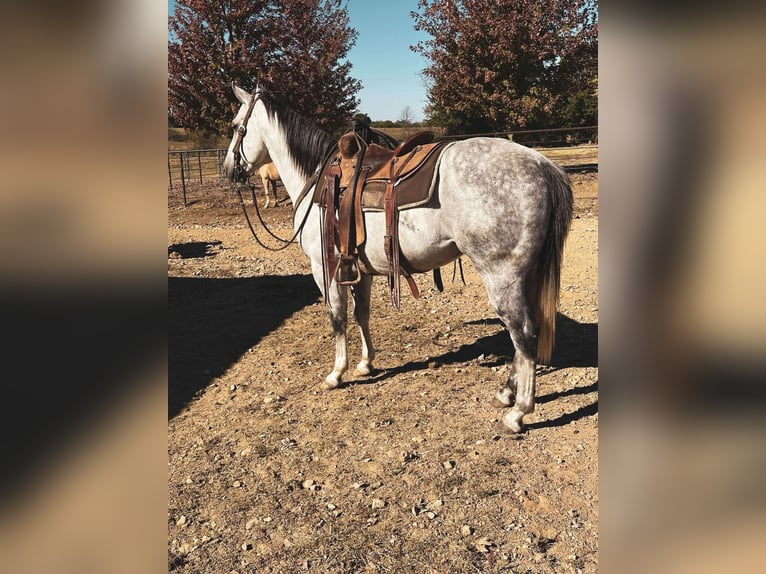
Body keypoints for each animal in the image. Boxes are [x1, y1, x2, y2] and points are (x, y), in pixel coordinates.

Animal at [222, 85, 568, 434]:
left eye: (238, 126)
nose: (228, 169)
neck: (317, 180)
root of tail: (541, 165)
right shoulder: (360, 269)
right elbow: (361, 314)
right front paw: (365, 364)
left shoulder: (325, 269)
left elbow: (337, 318)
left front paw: (336, 374)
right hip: (525, 276)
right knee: (524, 334)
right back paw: (506, 393)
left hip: (501, 277)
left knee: (523, 333)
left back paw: (518, 412)